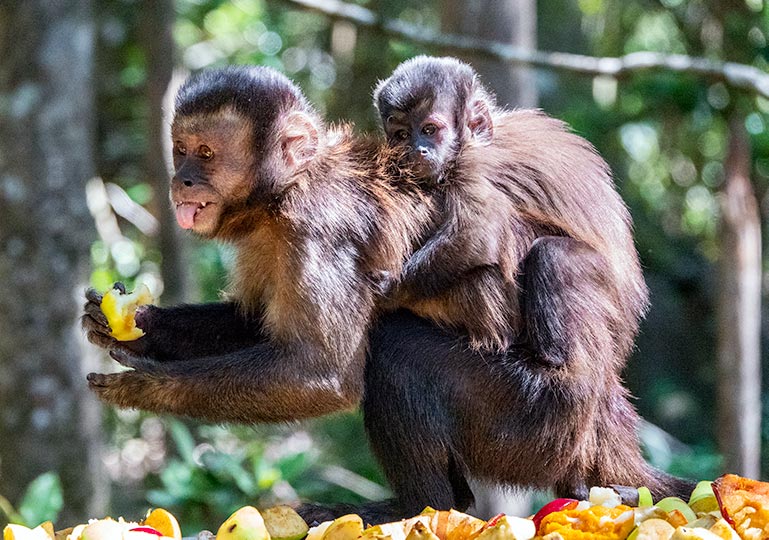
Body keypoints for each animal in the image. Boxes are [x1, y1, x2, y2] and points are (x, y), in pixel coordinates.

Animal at [362, 54, 696, 516]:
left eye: (430, 129)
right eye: (399, 134)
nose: (417, 149)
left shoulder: (471, 167)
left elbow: (479, 233)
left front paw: (384, 292)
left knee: (552, 256)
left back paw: (554, 363)